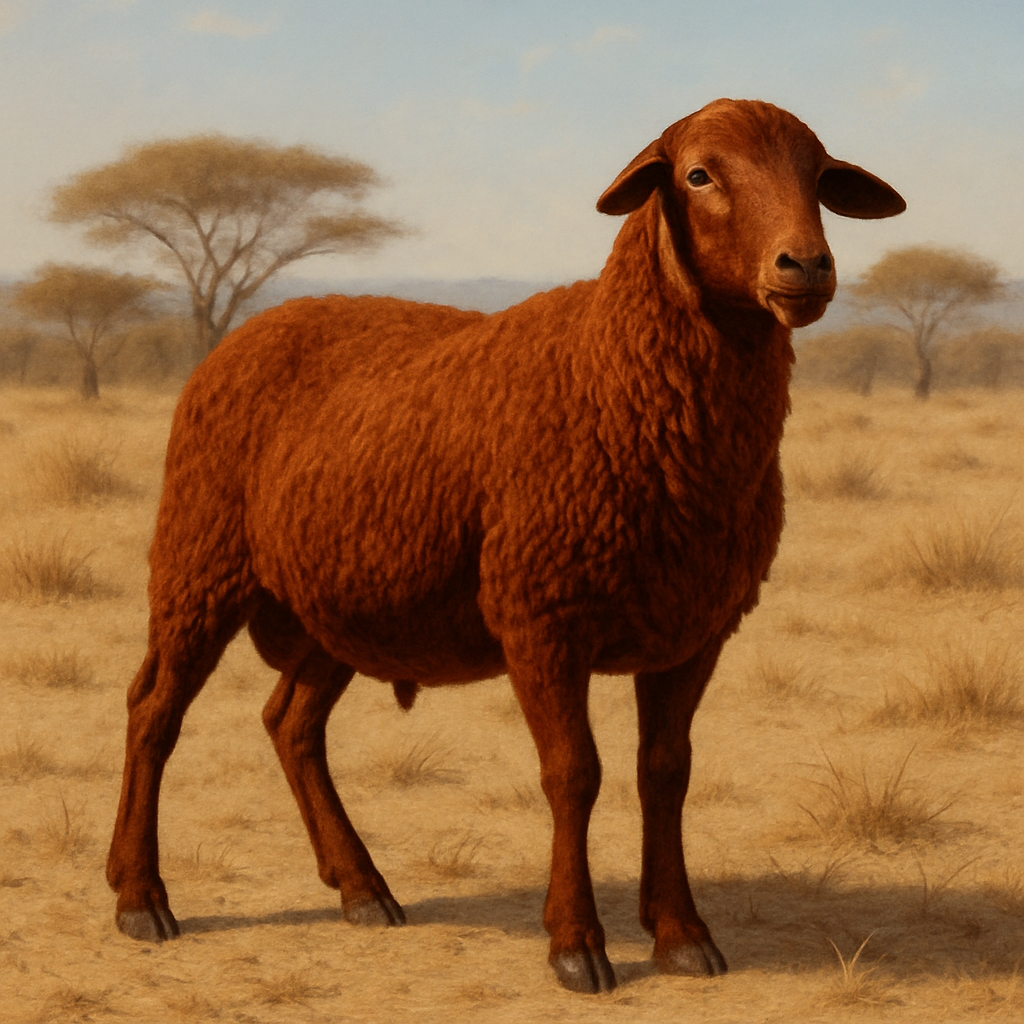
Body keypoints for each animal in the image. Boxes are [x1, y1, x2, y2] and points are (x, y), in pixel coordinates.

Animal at [106, 98, 905, 994]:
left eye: (818, 175)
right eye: (699, 174)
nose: (807, 266)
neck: (615, 373)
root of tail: (248, 330)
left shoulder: (694, 629)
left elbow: (666, 771)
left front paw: (681, 934)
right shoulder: (541, 616)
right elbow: (574, 774)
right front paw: (576, 943)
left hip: (336, 601)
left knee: (290, 724)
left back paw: (362, 888)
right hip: (199, 561)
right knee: (154, 710)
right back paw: (141, 898)